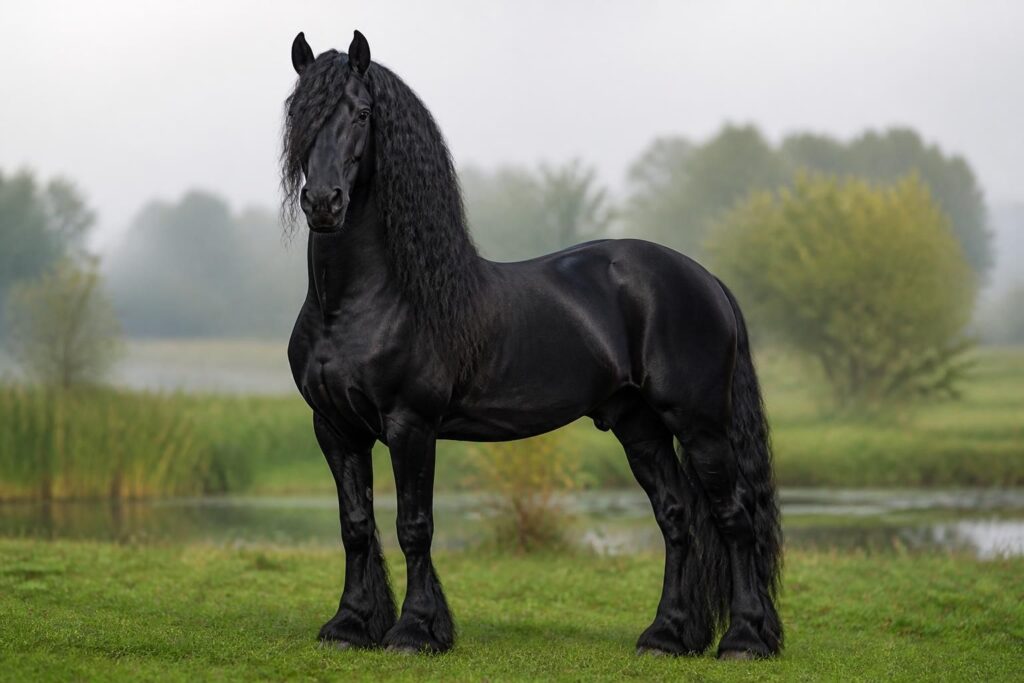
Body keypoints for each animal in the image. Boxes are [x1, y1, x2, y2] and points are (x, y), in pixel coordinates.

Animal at [283, 30, 782, 660]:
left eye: (363, 114)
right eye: (297, 113)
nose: (324, 203)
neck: (359, 303)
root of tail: (705, 278)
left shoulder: (410, 425)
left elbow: (413, 527)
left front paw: (414, 631)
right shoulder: (334, 428)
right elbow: (354, 526)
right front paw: (350, 624)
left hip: (700, 425)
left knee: (734, 518)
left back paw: (744, 638)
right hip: (639, 425)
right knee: (676, 518)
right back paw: (666, 635)